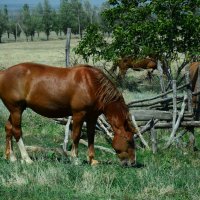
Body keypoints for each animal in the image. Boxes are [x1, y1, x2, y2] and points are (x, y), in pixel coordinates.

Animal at [0, 62, 137, 166]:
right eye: (129, 141)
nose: (132, 162)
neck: (91, 84)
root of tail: (3, 73)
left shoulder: (92, 117)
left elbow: (91, 137)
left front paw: (92, 160)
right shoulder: (79, 114)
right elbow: (76, 135)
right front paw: (75, 159)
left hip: (16, 110)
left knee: (8, 128)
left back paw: (11, 157)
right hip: (16, 110)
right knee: (17, 131)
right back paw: (26, 158)